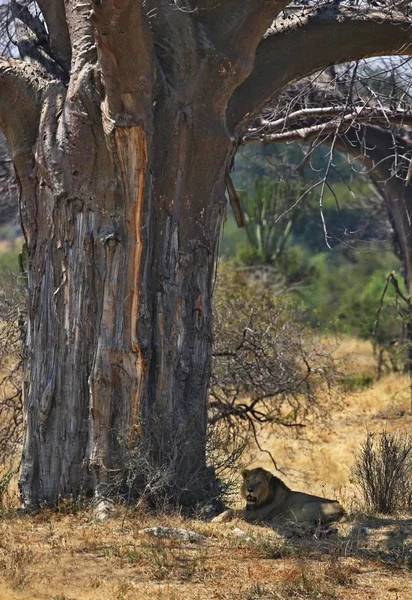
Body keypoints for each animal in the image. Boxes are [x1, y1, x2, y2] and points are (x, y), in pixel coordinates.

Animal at [214, 466, 346, 524]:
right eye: (248, 480)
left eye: (259, 482)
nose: (250, 489)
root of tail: (343, 510)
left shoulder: (259, 514)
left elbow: (234, 511)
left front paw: (218, 518)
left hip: (306, 507)